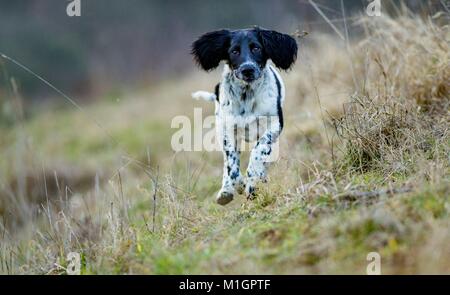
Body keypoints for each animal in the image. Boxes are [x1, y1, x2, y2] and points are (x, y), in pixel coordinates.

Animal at [192, 27, 298, 206]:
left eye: (256, 48)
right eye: (234, 51)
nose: (247, 69)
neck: (247, 95)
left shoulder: (275, 123)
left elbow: (259, 150)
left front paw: (253, 177)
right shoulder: (228, 130)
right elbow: (232, 168)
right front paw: (240, 185)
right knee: (226, 163)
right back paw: (226, 190)